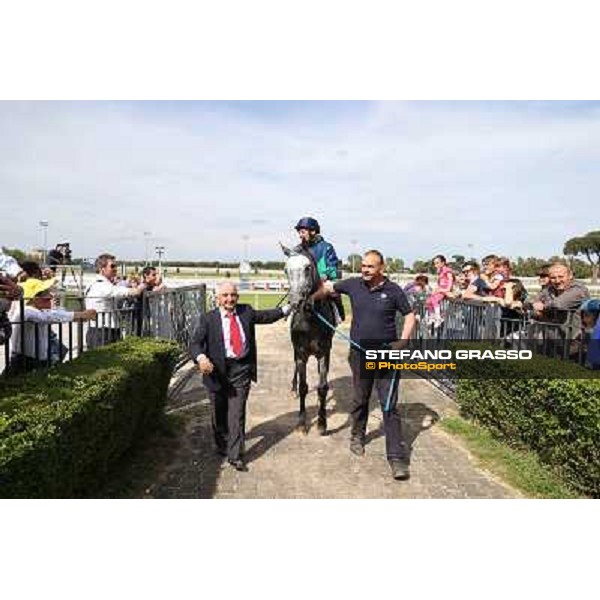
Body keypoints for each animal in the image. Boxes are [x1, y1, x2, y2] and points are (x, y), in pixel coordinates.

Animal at [280, 244, 336, 436]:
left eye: (307, 268)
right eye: (285, 269)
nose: (296, 302)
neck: (310, 321)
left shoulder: (324, 353)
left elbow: (322, 387)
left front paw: (322, 423)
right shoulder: (301, 353)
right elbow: (304, 387)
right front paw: (301, 423)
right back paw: (293, 387)